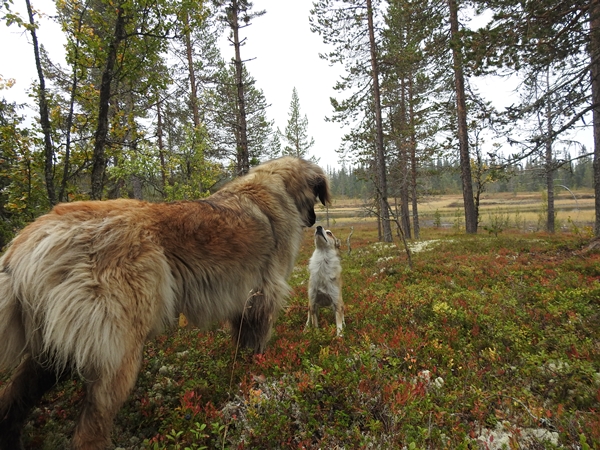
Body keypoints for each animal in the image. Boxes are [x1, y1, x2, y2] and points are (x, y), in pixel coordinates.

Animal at [0, 157, 330, 450]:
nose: (314, 221)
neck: (274, 185)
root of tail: (31, 239)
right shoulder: (263, 297)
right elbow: (256, 343)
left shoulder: (244, 304)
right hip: (117, 354)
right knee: (88, 432)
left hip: (52, 351)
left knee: (12, 402)